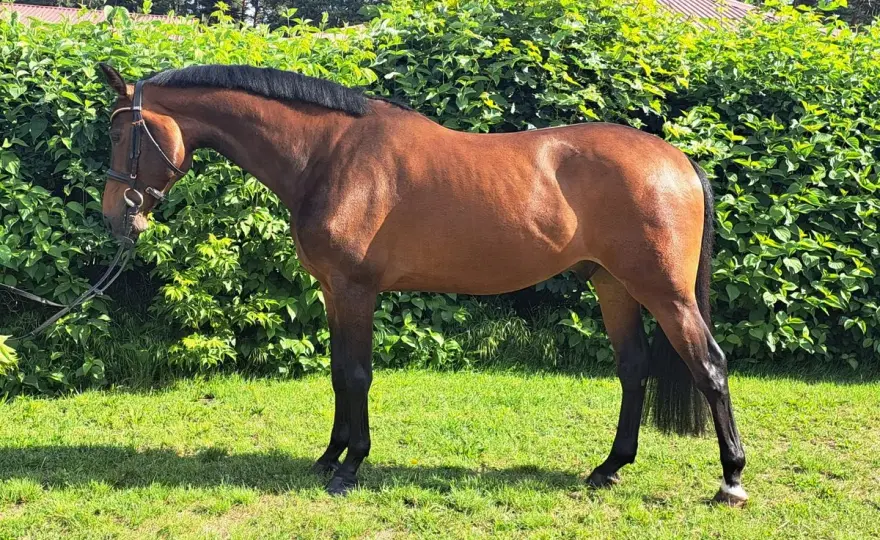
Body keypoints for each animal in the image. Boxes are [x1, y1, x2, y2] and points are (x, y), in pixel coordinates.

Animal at [97, 63, 747, 506]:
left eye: (121, 135)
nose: (113, 215)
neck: (329, 154)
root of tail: (679, 161)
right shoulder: (333, 290)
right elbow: (338, 374)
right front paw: (329, 456)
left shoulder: (356, 288)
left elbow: (356, 374)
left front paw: (349, 467)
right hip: (612, 285)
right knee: (633, 368)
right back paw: (608, 467)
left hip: (664, 292)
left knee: (709, 366)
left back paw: (732, 479)